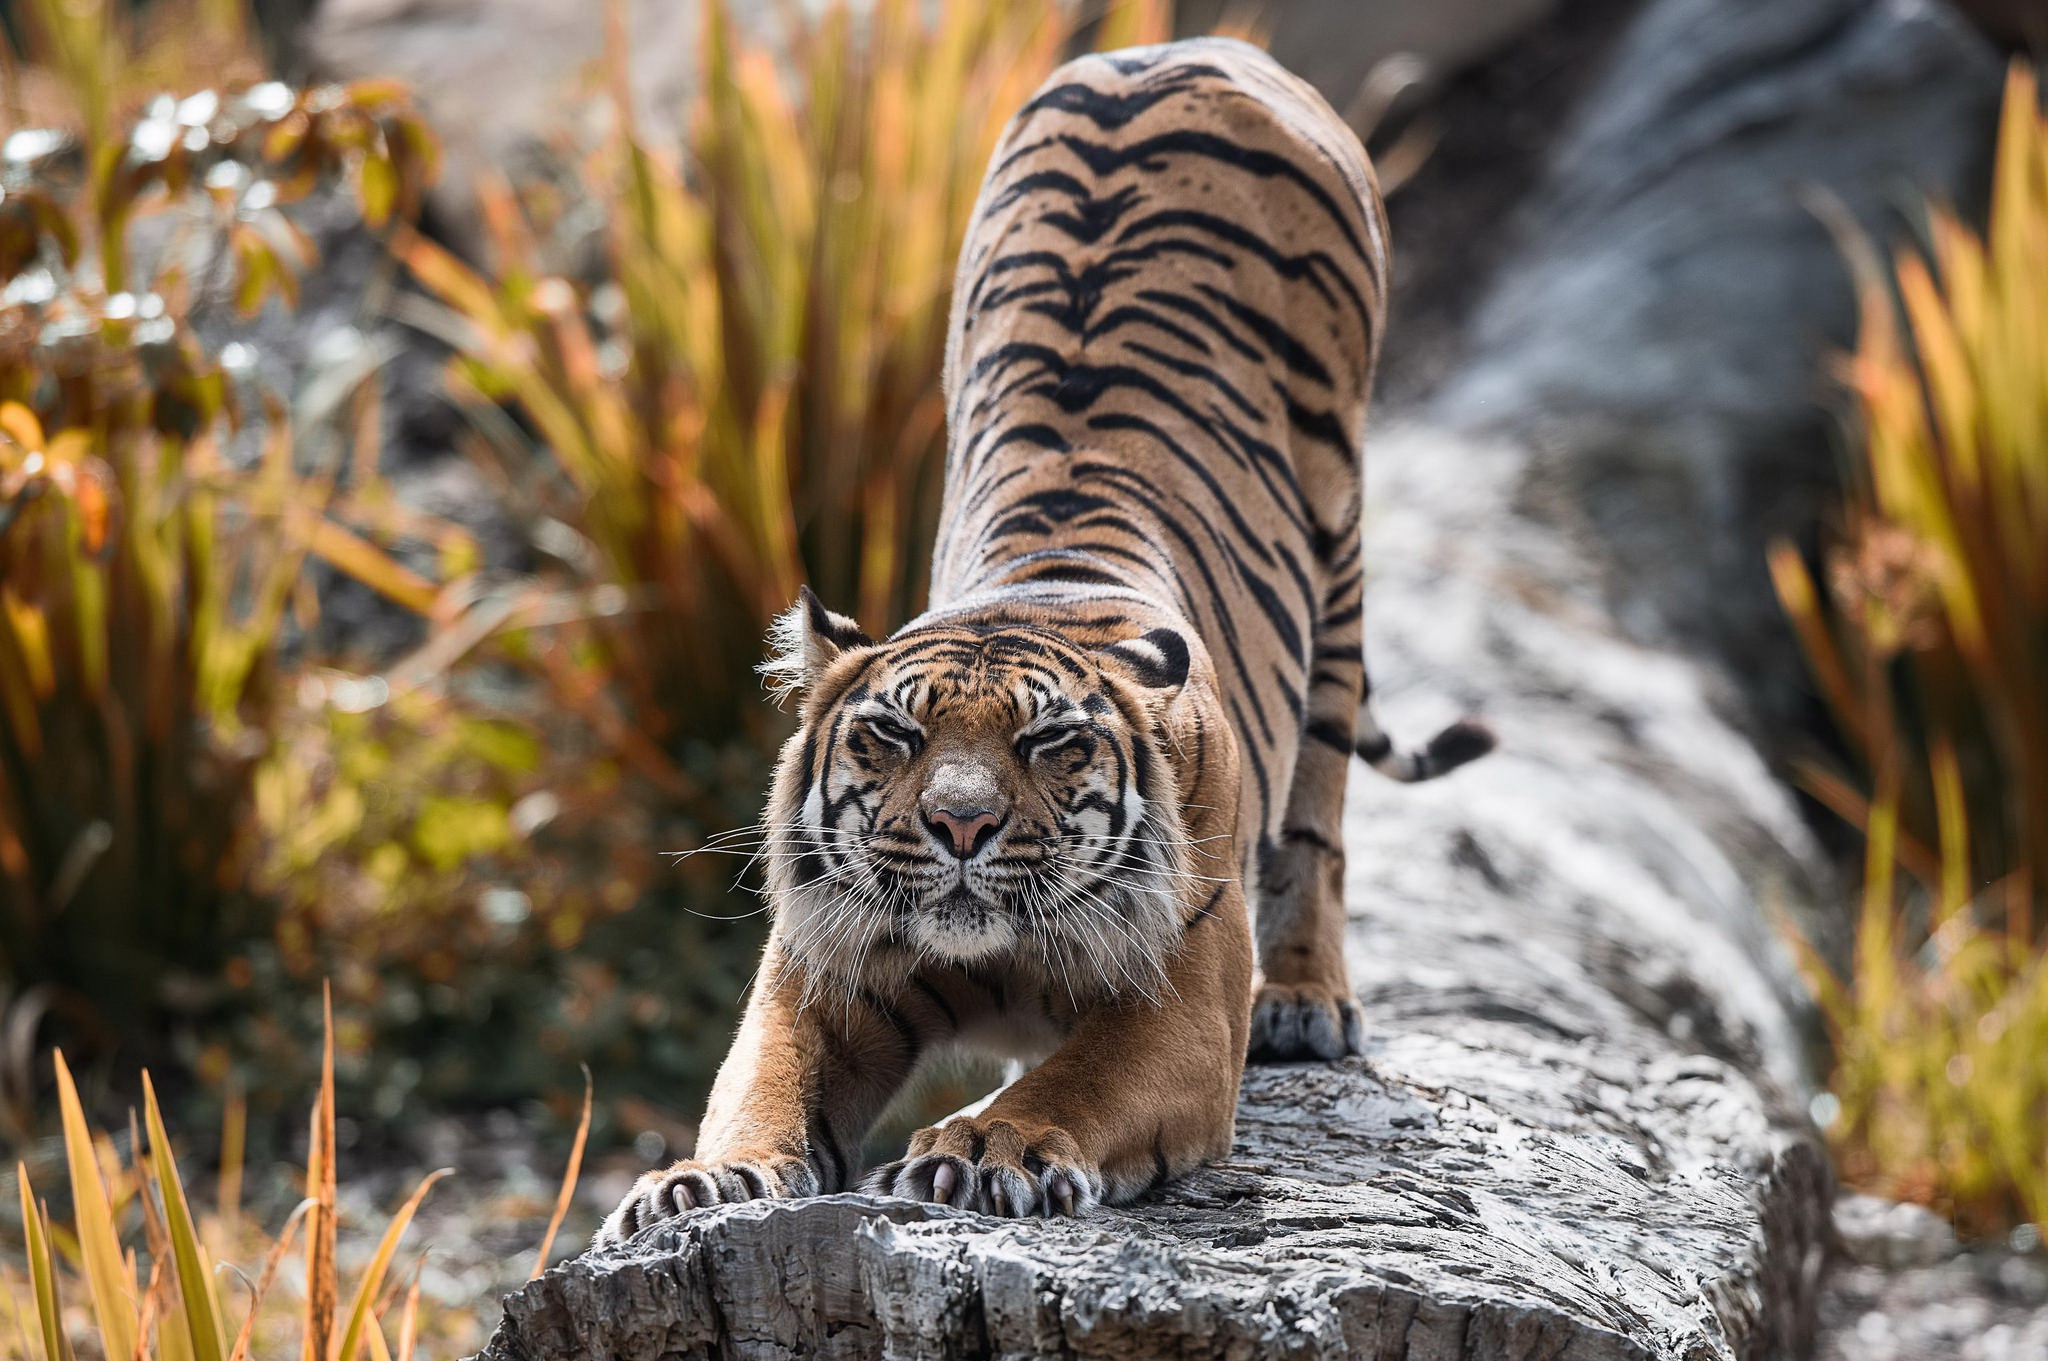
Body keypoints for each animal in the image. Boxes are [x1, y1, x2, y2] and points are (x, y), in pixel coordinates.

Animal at [593, 34, 1490, 1244]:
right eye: (891, 735)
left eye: (1049, 743)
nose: (959, 827)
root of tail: (1187, 46)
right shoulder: (822, 973)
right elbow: (761, 1082)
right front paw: (700, 1179)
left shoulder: (1182, 1009)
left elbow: (1077, 1080)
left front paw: (982, 1146)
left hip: (1339, 537)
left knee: (1322, 805)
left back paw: (1306, 1000)